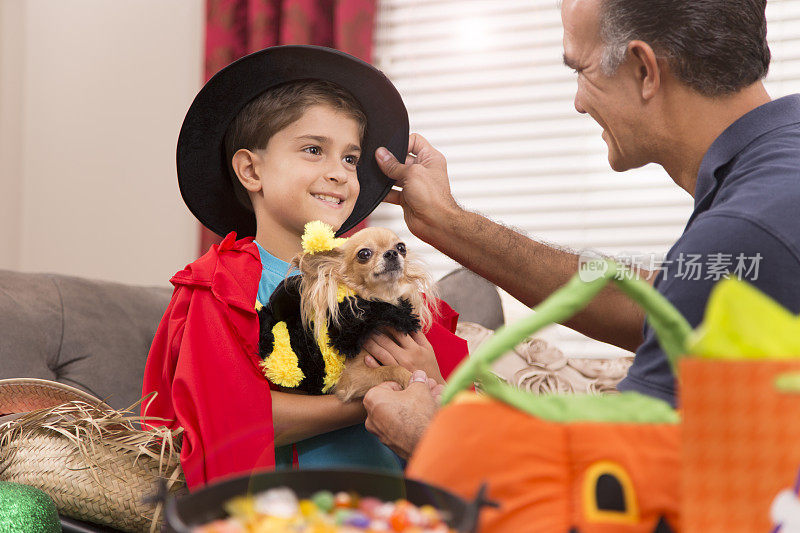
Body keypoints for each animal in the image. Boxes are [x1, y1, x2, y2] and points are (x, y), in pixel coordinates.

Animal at [258, 222, 438, 402]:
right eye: (364, 254)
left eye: (401, 247)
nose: (392, 253)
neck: (383, 303)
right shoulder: (354, 377)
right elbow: (392, 369)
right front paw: (411, 379)